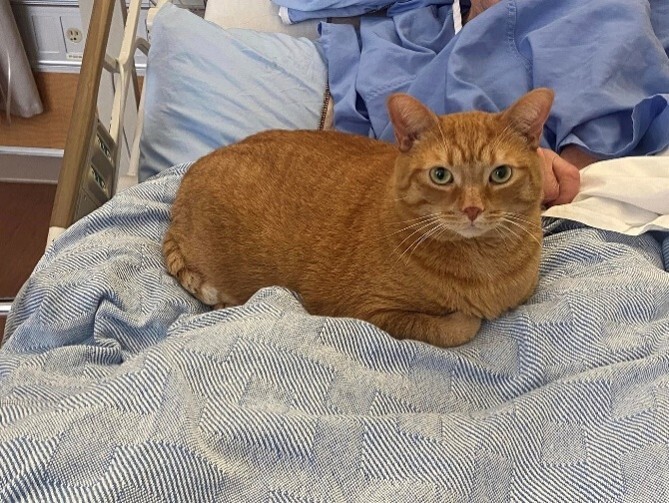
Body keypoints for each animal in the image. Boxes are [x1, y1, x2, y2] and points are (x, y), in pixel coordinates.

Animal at [163, 88, 552, 347]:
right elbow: (458, 327)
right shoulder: (372, 312)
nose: (472, 210)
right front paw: (467, 316)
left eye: (500, 174)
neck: (485, 262)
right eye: (441, 175)